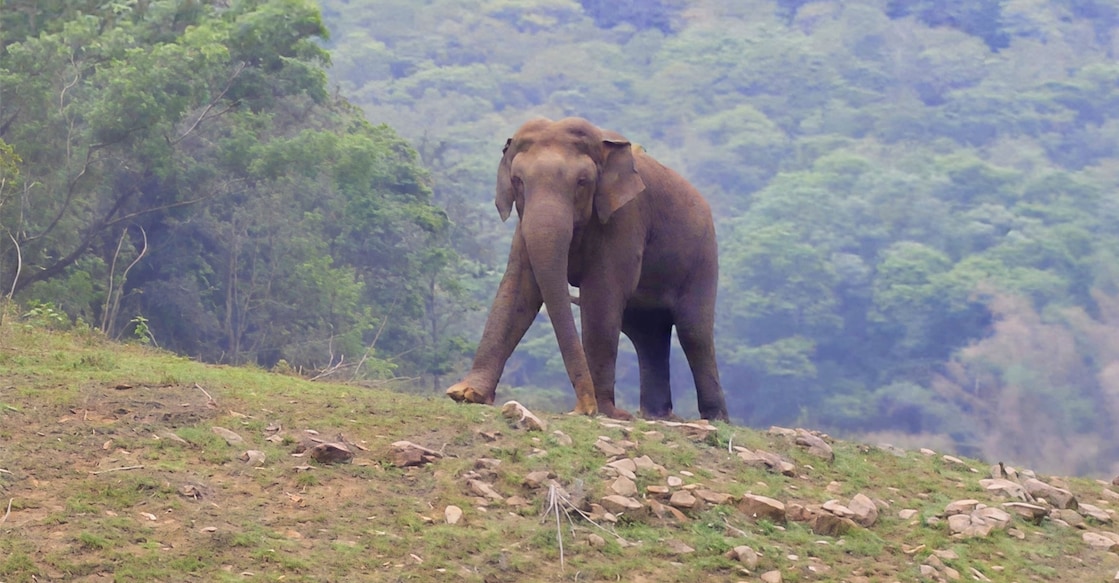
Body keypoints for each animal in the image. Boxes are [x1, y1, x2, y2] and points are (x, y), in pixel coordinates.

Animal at [445, 117, 729, 421]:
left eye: (582, 182)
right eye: (518, 181)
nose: (585, 406)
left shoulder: (625, 218)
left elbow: (601, 296)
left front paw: (603, 411)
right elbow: (518, 289)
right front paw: (465, 394)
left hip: (703, 258)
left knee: (693, 331)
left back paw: (714, 419)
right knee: (647, 334)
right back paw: (656, 415)